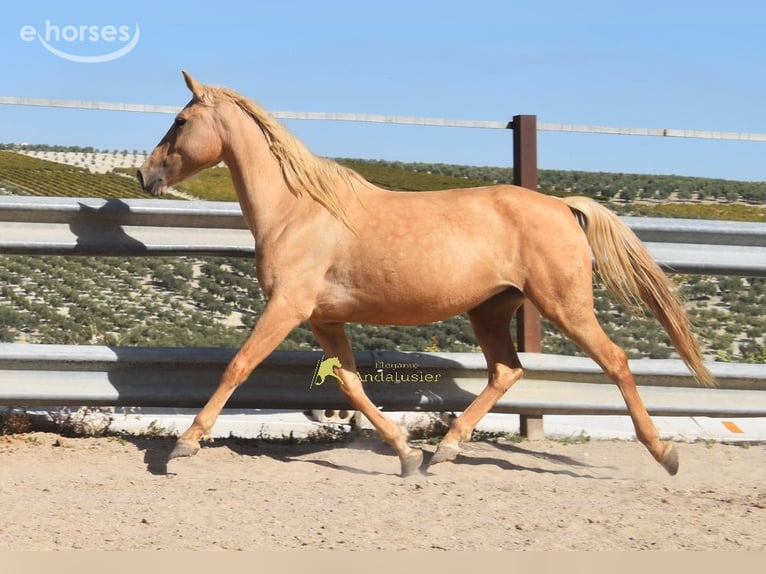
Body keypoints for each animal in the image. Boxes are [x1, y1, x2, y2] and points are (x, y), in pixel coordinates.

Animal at [137, 71, 715, 477]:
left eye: (181, 121)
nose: (145, 174)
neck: (298, 209)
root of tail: (561, 206)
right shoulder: (324, 319)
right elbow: (350, 385)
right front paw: (405, 454)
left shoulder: (287, 307)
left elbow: (237, 367)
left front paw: (183, 446)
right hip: (491, 311)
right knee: (506, 371)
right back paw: (445, 450)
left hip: (564, 305)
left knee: (615, 360)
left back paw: (664, 453)